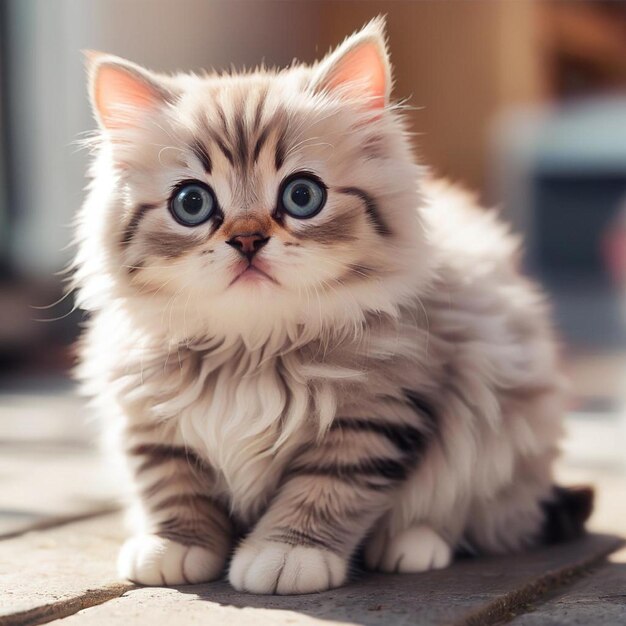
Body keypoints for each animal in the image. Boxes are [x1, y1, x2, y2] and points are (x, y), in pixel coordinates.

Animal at [74, 19, 588, 592]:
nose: (248, 239)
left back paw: (413, 543)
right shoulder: (145, 414)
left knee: (476, 514)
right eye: (192, 203)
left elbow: (325, 489)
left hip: (500, 427)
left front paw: (286, 553)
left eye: (302, 196)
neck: (250, 347)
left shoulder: (381, 409)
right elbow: (169, 484)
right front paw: (173, 545)